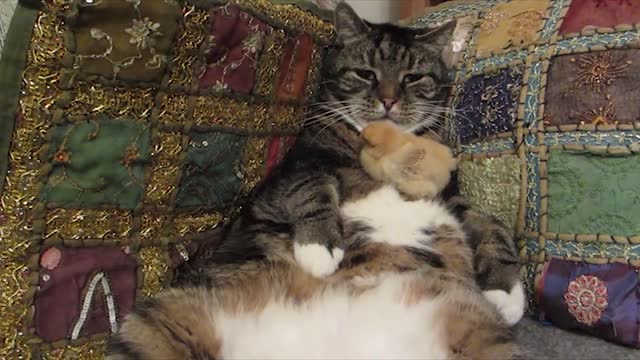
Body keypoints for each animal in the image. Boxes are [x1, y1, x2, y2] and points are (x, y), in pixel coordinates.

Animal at [106, 2, 524, 358]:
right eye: (366, 73)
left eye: (412, 77)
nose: (388, 100)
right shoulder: (292, 171)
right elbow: (312, 188)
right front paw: (320, 247)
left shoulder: (451, 200)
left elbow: (493, 224)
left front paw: (507, 291)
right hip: (160, 322)